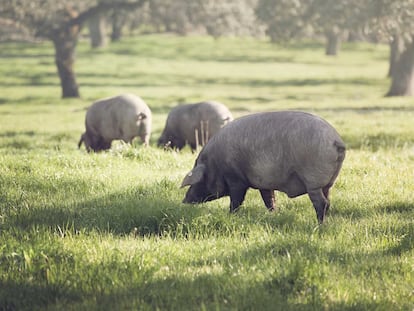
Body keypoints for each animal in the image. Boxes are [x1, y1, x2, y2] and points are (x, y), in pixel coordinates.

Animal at [181, 111, 346, 224]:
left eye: (198, 181)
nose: (184, 201)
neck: (214, 163)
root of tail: (336, 140)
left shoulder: (236, 179)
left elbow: (236, 200)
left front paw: (231, 215)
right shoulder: (264, 183)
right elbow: (269, 200)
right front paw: (274, 215)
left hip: (313, 180)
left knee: (321, 203)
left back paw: (319, 225)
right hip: (327, 183)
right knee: (328, 201)